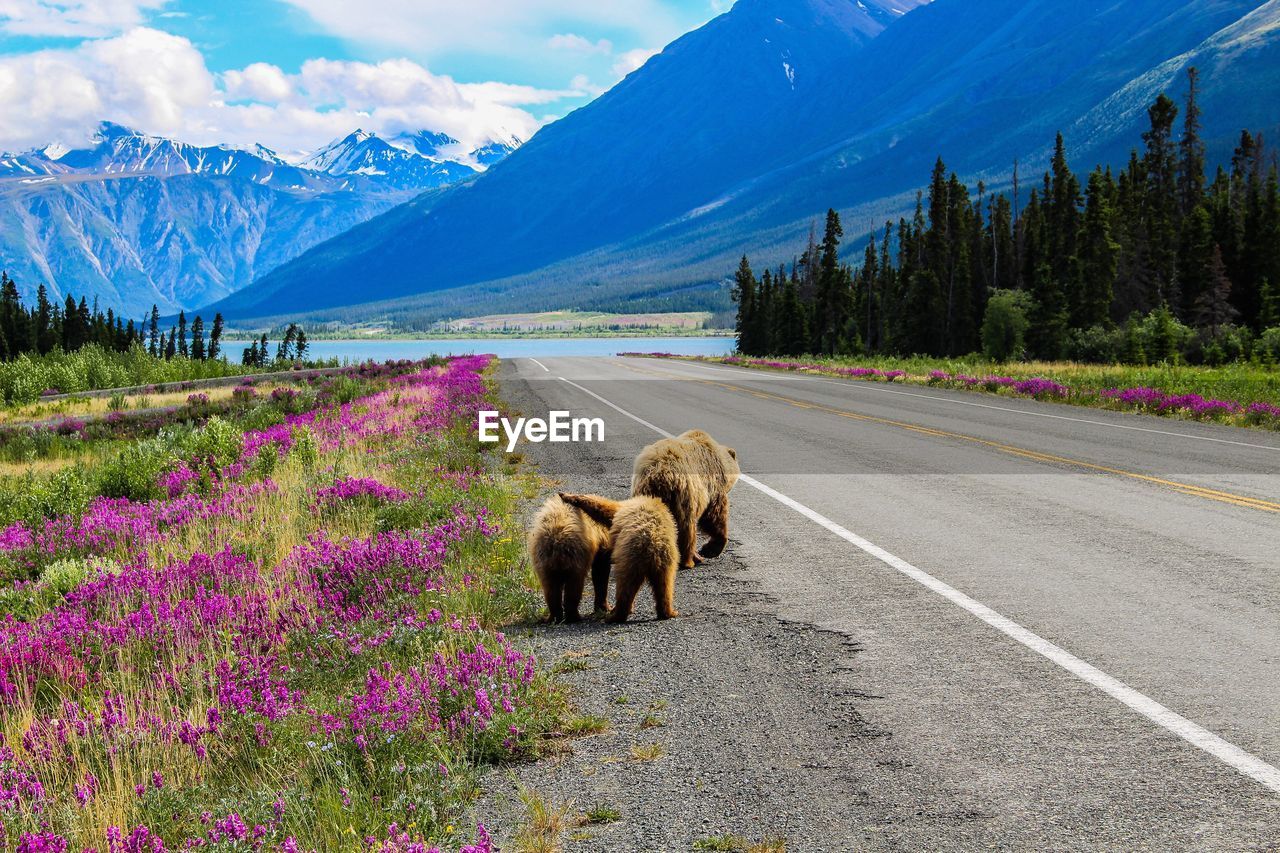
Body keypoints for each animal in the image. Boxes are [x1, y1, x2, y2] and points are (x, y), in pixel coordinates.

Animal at [629, 427, 742, 568]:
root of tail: (657, 475)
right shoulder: (712, 485)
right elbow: (715, 515)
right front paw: (710, 549)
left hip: (644, 494)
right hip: (685, 496)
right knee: (687, 530)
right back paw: (690, 559)